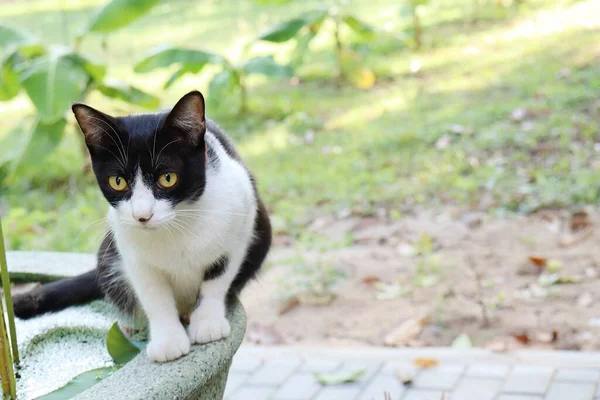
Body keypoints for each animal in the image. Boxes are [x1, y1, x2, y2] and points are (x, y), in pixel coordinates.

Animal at [12, 90, 270, 362]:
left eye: (167, 178)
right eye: (117, 181)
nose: (142, 216)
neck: (176, 226)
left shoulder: (241, 220)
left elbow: (217, 278)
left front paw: (207, 322)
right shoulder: (131, 251)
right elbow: (154, 295)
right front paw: (168, 341)